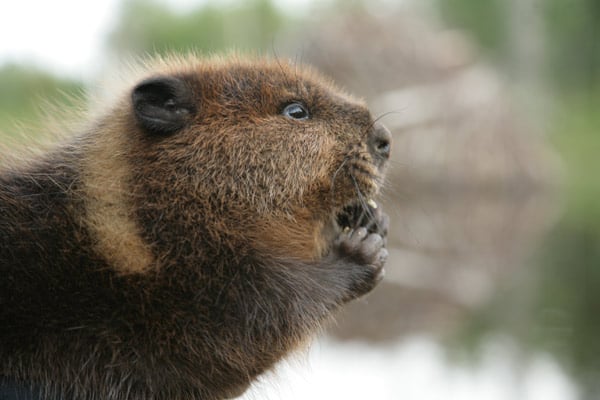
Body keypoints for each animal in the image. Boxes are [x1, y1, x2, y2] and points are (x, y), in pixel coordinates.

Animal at [0, 55, 390, 400]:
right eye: (296, 110)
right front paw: (362, 249)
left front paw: (370, 219)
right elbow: (262, 324)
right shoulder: (205, 287)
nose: (384, 139)